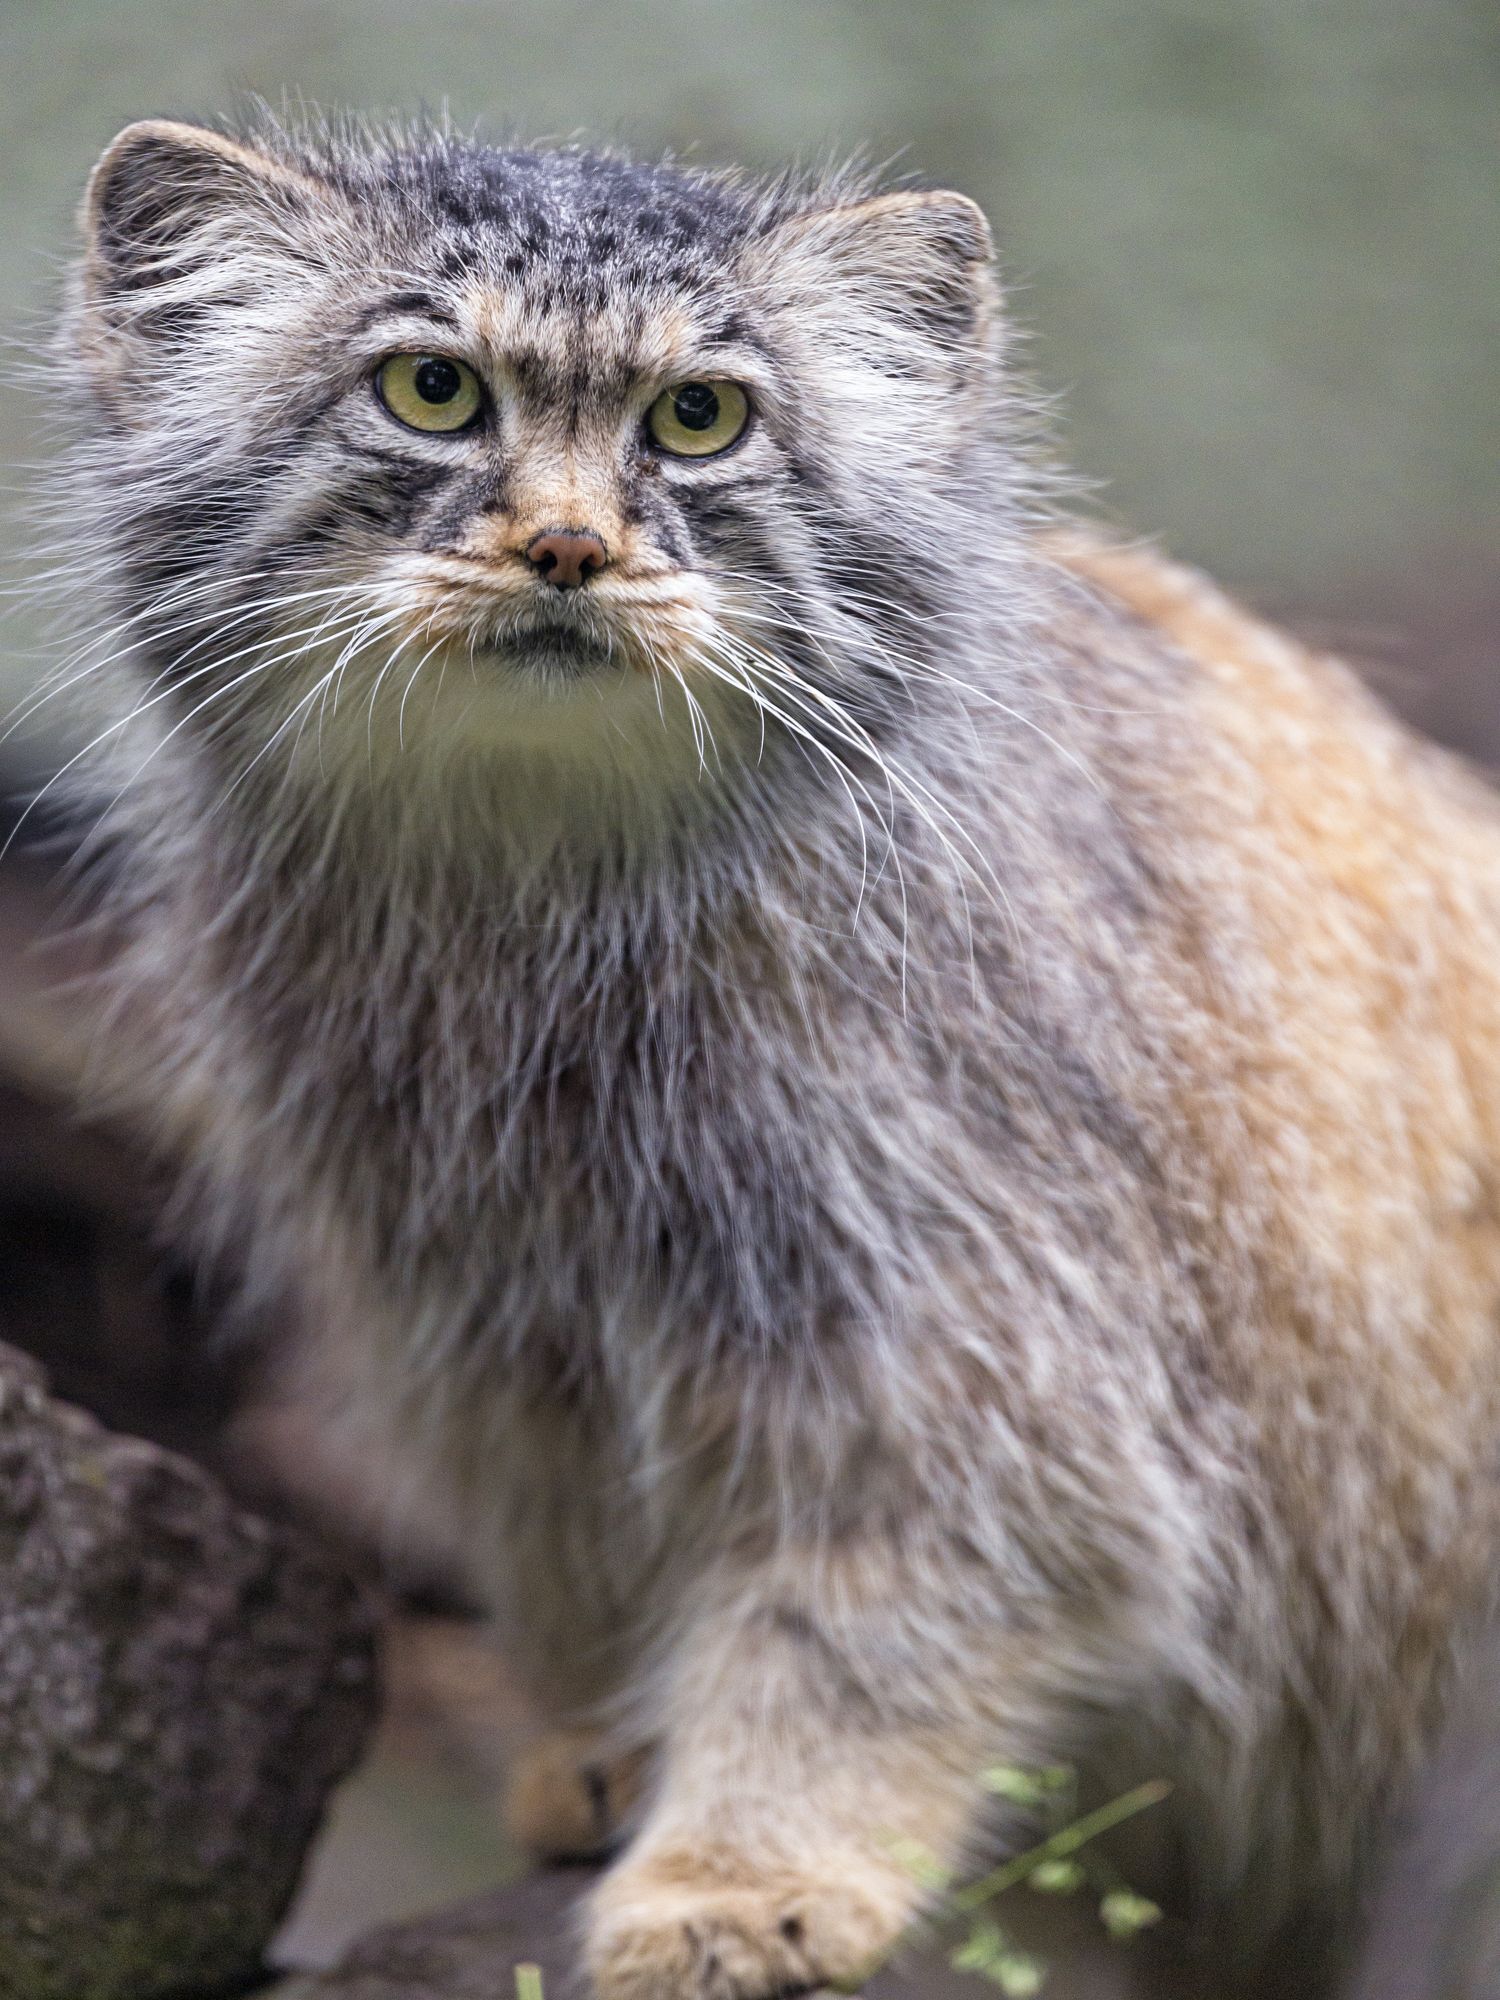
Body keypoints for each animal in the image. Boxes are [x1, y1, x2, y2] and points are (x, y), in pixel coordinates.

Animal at [41, 113, 1500, 2000]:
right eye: (433, 391)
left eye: (697, 418)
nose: (568, 549)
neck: (544, 900)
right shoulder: (491, 1308)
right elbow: (580, 1548)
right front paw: (611, 1748)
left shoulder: (974, 1333)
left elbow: (860, 1624)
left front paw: (745, 1869)